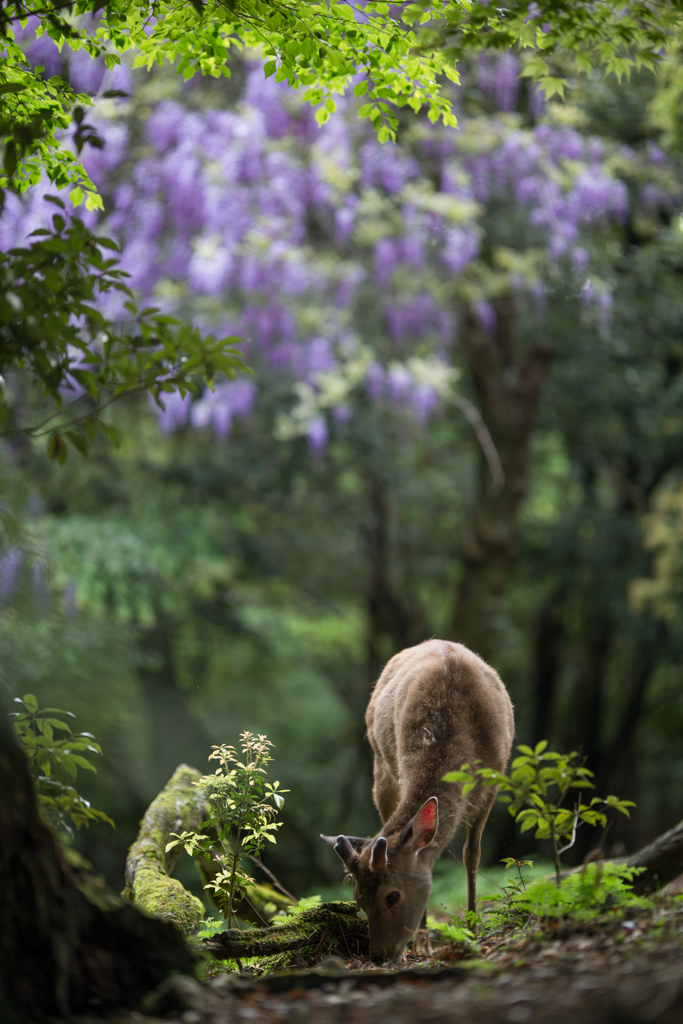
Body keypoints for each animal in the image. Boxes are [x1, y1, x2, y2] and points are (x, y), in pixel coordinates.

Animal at [323, 638, 516, 966]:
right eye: (358, 900)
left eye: (392, 895)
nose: (379, 957)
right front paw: (424, 943)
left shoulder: (495, 777)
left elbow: (472, 854)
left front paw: (473, 930)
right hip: (381, 768)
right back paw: (422, 942)